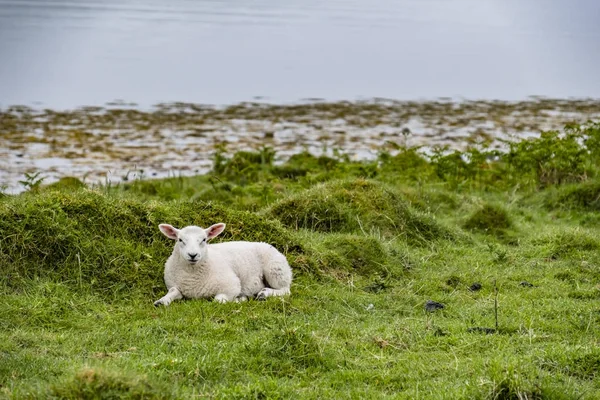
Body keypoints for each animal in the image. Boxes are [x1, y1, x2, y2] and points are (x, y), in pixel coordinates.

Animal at [154, 222, 292, 306]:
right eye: (180, 240)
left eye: (204, 240)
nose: (193, 255)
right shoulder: (175, 286)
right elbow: (173, 291)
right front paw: (162, 301)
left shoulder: (231, 285)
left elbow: (218, 300)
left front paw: (240, 299)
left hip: (275, 269)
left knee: (285, 290)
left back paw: (265, 293)